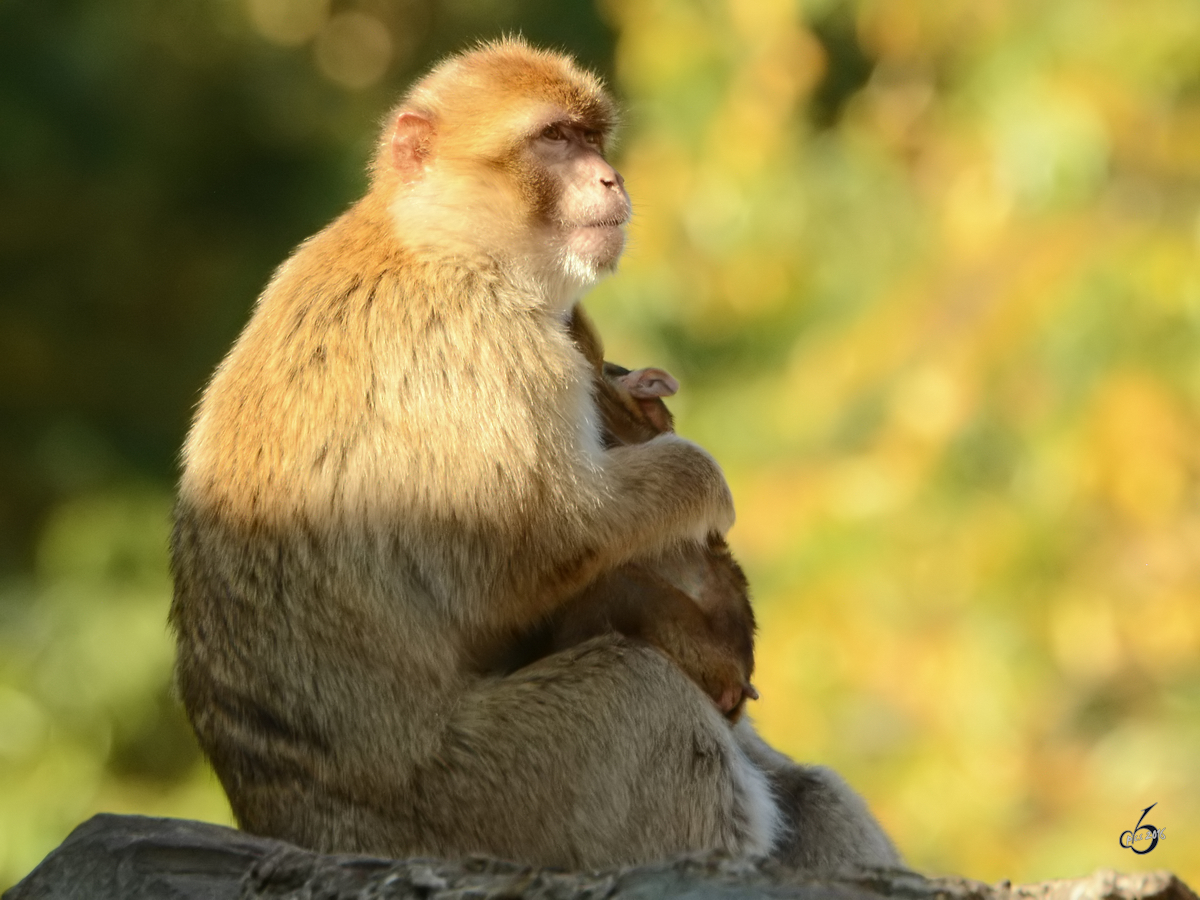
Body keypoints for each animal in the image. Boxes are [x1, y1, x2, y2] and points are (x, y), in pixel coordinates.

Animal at [171, 37, 902, 873]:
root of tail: (286, 823)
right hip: (476, 807)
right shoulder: (484, 337)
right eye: (555, 139)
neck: (433, 235)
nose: (610, 178)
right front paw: (699, 483)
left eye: (591, 138)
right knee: (632, 692)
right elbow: (538, 538)